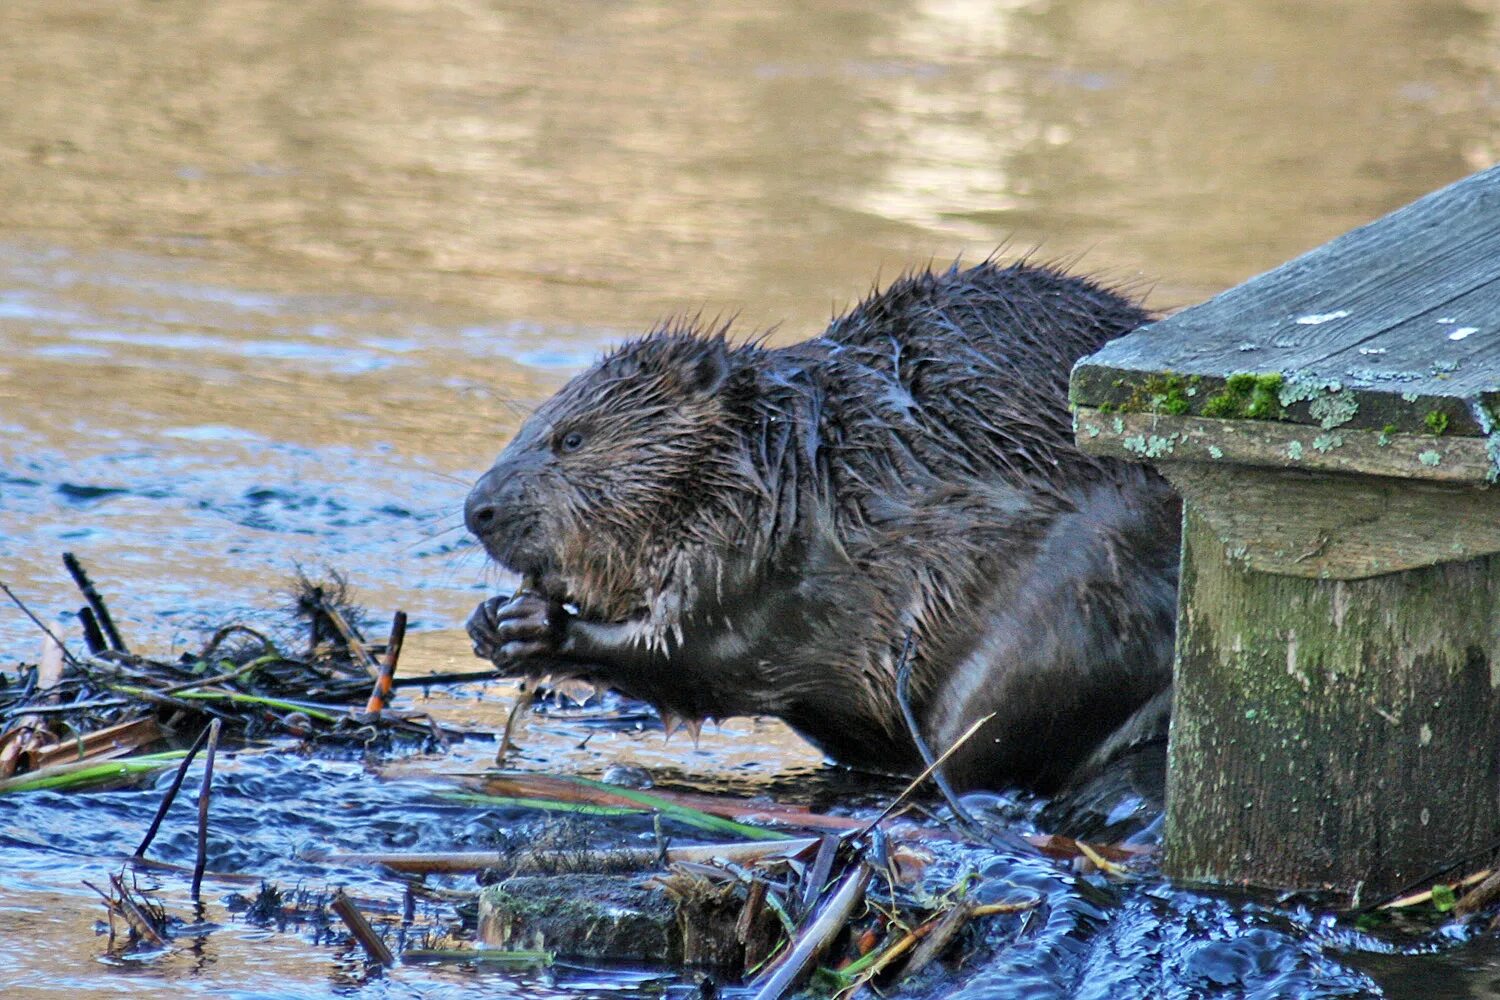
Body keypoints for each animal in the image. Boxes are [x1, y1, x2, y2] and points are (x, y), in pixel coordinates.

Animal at [462, 262, 1176, 791]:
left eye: (571, 439)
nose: (477, 509)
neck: (786, 461)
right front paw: (487, 619)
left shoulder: (766, 553)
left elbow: (701, 652)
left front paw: (537, 626)